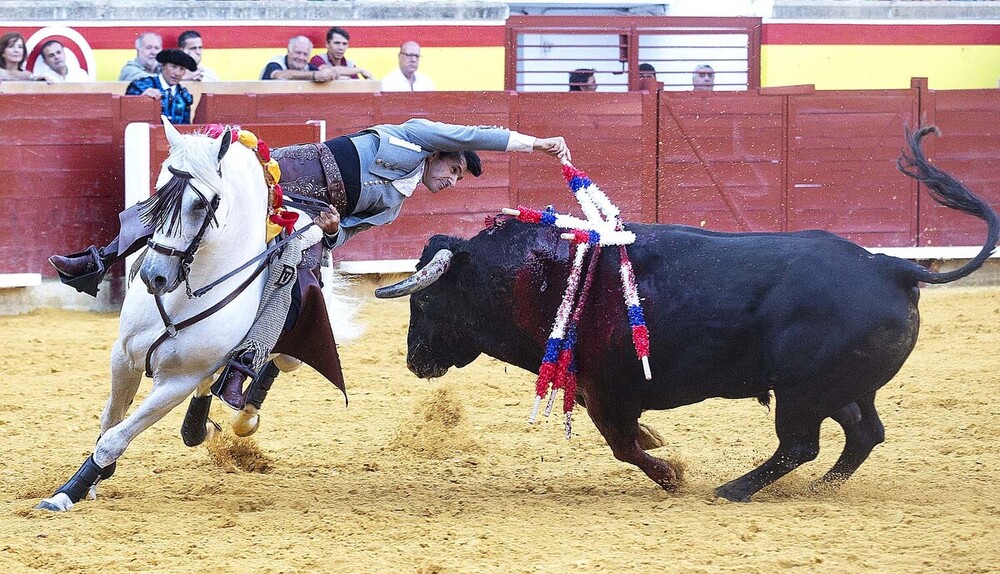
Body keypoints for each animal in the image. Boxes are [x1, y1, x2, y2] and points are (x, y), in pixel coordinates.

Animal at [36, 118, 316, 512]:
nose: (153, 276)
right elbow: (110, 420)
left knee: (271, 364)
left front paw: (67, 492)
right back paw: (199, 426)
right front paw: (94, 480)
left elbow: (115, 438)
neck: (184, 296)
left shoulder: (176, 382)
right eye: (157, 195)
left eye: (199, 204)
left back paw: (243, 417)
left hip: (290, 354)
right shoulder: (123, 356)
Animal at [376, 127, 1000, 504]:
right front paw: (661, 447)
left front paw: (671, 473)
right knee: (863, 432)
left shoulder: (610, 390)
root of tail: (892, 267)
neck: (541, 274)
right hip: (836, 385)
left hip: (802, 389)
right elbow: (628, 440)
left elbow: (622, 445)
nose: (413, 362)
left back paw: (735, 489)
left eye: (423, 300)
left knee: (801, 444)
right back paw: (819, 490)